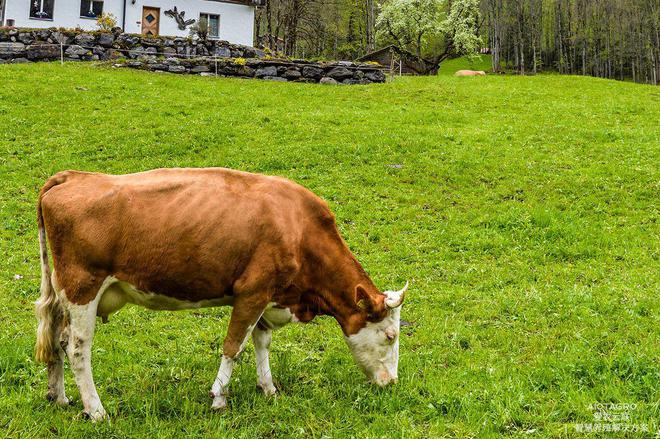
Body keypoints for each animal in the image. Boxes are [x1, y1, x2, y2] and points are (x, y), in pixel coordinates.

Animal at [37, 169, 408, 422]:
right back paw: (96, 410)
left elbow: (262, 342)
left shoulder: (268, 296)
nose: (392, 383)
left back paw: (59, 397)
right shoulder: (252, 292)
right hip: (83, 287)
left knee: (56, 339)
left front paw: (268, 388)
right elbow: (234, 346)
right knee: (77, 349)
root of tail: (73, 176)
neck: (298, 227)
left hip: (61, 292)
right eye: (390, 336)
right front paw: (219, 397)